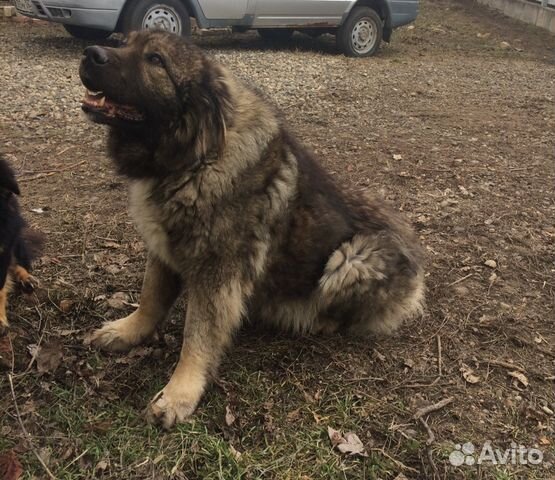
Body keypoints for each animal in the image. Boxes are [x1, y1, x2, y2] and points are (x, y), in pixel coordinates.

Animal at [79, 29, 426, 428]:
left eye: (155, 60)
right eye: (122, 41)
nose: (90, 53)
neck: (195, 158)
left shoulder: (217, 273)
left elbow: (196, 336)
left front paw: (179, 394)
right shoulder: (163, 250)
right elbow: (151, 298)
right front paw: (127, 331)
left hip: (353, 257)